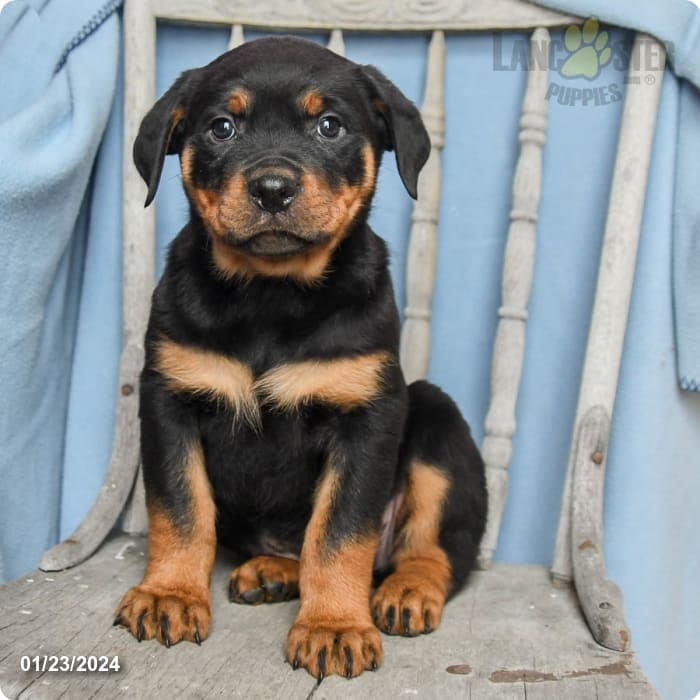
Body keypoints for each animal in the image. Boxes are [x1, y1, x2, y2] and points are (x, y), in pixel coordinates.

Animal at [115, 34, 486, 680]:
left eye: (329, 126)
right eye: (222, 128)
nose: (272, 189)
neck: (272, 294)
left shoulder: (368, 415)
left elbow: (340, 531)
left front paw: (333, 626)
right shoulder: (169, 397)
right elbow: (181, 510)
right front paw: (169, 595)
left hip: (436, 418)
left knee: (436, 548)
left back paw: (406, 592)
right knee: (297, 542)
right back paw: (273, 570)